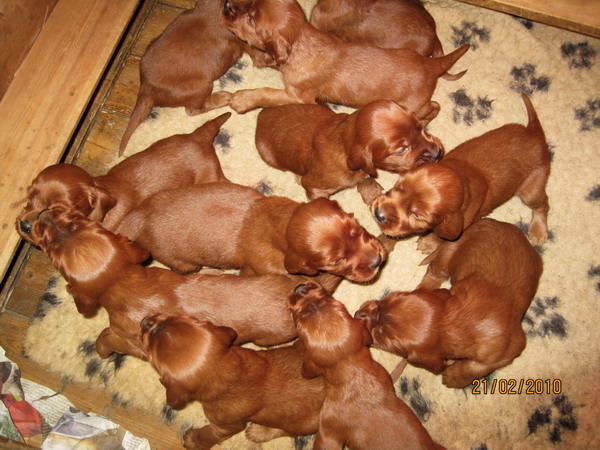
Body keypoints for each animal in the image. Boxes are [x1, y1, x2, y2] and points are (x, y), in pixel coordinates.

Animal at [29, 210, 305, 359]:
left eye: (51, 248)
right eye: (77, 220)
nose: (41, 214)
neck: (123, 281)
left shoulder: (132, 342)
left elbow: (106, 338)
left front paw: (101, 349)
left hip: (265, 339)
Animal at [116, 181, 386, 289]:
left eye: (356, 229)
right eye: (336, 261)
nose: (377, 261)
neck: (281, 224)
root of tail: (138, 216)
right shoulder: (257, 269)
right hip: (183, 263)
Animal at [141, 313, 325, 449]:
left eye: (150, 351)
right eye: (172, 318)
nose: (145, 320)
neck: (230, 371)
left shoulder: (226, 426)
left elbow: (209, 434)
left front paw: (192, 440)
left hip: (308, 423)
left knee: (288, 431)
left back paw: (259, 432)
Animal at [355, 218, 543, 388]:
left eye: (380, 338)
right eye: (384, 301)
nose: (356, 314)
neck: (458, 322)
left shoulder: (509, 349)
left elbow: (476, 368)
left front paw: (454, 377)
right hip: (449, 251)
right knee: (434, 273)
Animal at [370, 93, 550, 246]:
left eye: (417, 216)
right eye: (399, 186)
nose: (378, 213)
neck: (462, 175)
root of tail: (534, 133)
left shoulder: (462, 221)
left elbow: (443, 234)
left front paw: (429, 242)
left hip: (530, 190)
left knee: (543, 205)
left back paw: (538, 232)